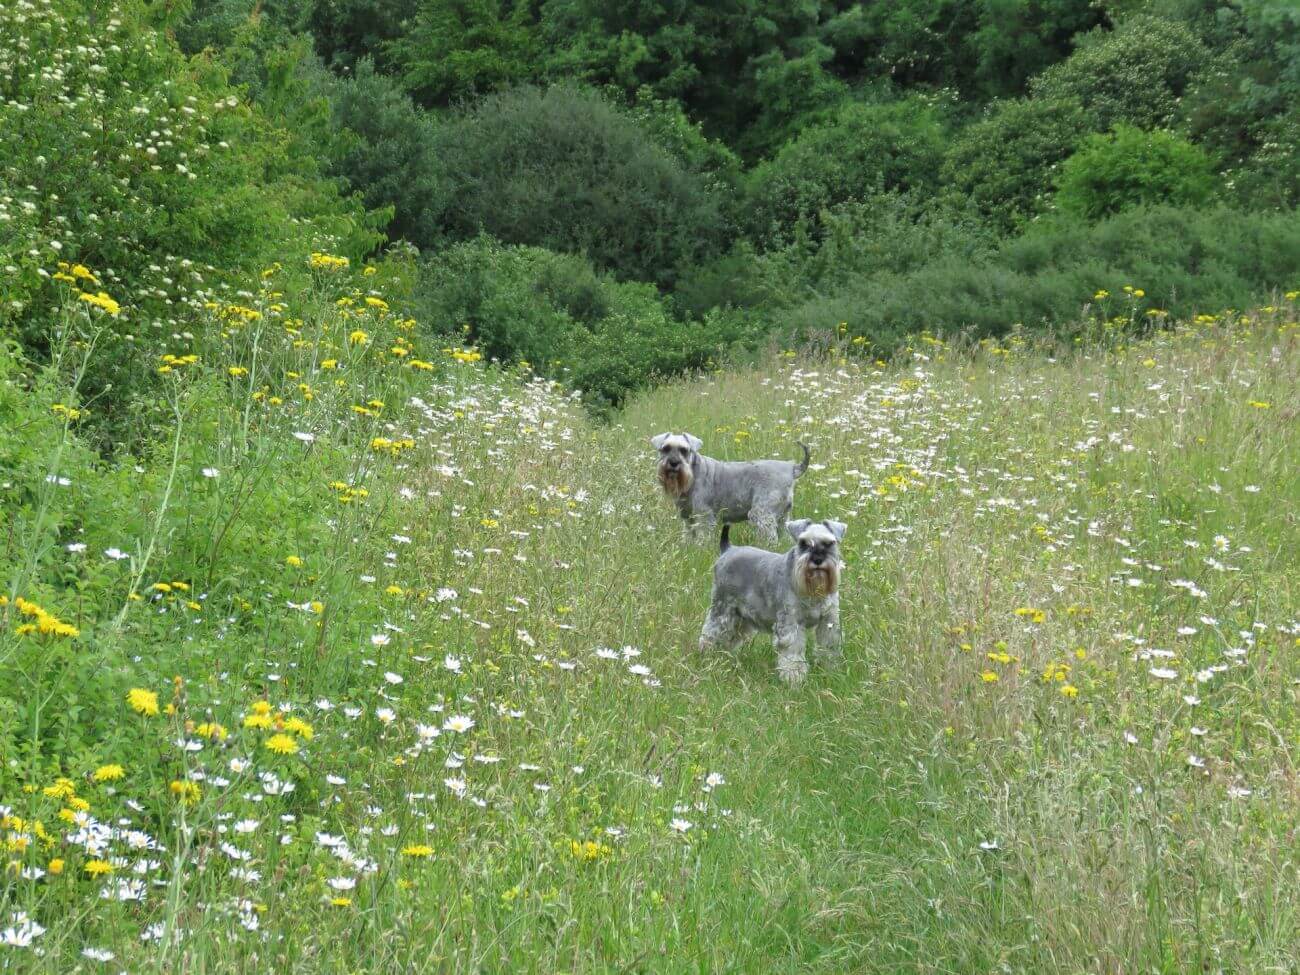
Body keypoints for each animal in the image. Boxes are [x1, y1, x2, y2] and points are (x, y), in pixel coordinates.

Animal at [650, 434, 811, 546]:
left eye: (684, 450)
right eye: (665, 448)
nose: (673, 463)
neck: (693, 474)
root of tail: (791, 468)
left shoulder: (704, 515)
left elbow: (703, 535)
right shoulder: (687, 516)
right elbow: (689, 533)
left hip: (762, 514)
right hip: (783, 516)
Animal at [696, 520, 847, 686]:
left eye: (830, 543)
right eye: (803, 543)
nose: (818, 559)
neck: (812, 591)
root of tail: (728, 549)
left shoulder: (829, 620)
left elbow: (829, 646)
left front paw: (830, 670)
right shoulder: (790, 622)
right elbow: (792, 651)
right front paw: (794, 679)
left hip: (741, 619)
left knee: (730, 638)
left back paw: (725, 657)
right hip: (722, 609)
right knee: (710, 633)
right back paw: (707, 656)